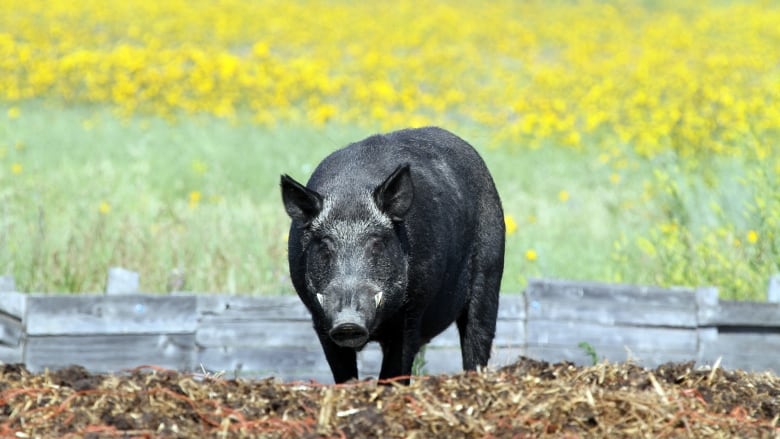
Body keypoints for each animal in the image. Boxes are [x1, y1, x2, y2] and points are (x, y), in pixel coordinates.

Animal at [280, 127, 506, 384]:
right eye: (326, 247)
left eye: (376, 244)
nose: (348, 323)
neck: (351, 194)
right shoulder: (319, 318)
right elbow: (343, 374)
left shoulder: (413, 311)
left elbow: (395, 370)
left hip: (490, 271)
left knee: (477, 336)